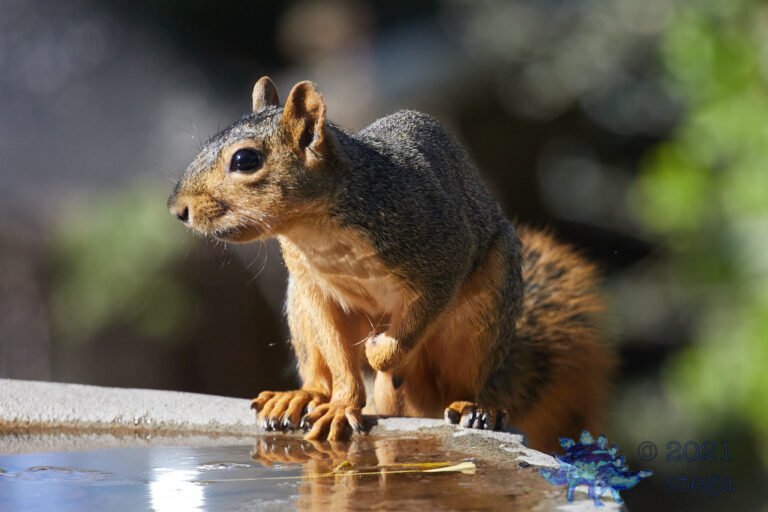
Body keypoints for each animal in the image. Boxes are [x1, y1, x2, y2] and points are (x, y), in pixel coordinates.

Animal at [168, 76, 615, 453]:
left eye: (245, 160)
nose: (178, 210)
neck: (316, 229)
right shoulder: (313, 287)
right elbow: (339, 355)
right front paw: (343, 403)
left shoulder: (441, 259)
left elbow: (403, 334)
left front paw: (379, 350)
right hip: (298, 306)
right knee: (319, 369)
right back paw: (303, 396)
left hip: (484, 310)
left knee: (464, 379)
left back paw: (474, 407)